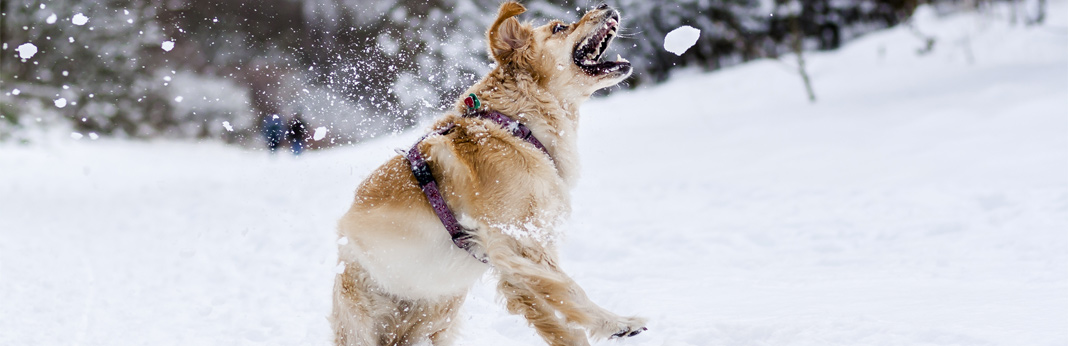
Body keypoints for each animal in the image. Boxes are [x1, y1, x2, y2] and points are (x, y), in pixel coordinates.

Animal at [328, 3, 645, 346]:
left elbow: (556, 314)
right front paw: (616, 323)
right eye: (559, 28)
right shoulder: (513, 239)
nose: (605, 6)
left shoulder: (518, 258)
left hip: (437, 314)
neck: (516, 126)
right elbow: (569, 290)